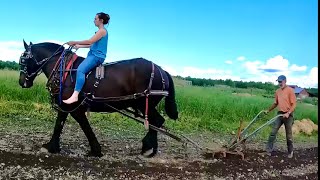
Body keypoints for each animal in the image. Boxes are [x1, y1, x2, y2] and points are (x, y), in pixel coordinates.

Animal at [18, 40, 179, 158]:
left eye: (23, 60)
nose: (22, 82)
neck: (64, 70)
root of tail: (162, 70)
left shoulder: (73, 107)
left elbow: (82, 126)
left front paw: (95, 150)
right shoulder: (65, 105)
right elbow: (60, 124)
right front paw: (53, 146)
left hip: (143, 103)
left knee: (156, 121)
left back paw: (148, 148)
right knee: (156, 122)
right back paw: (149, 147)